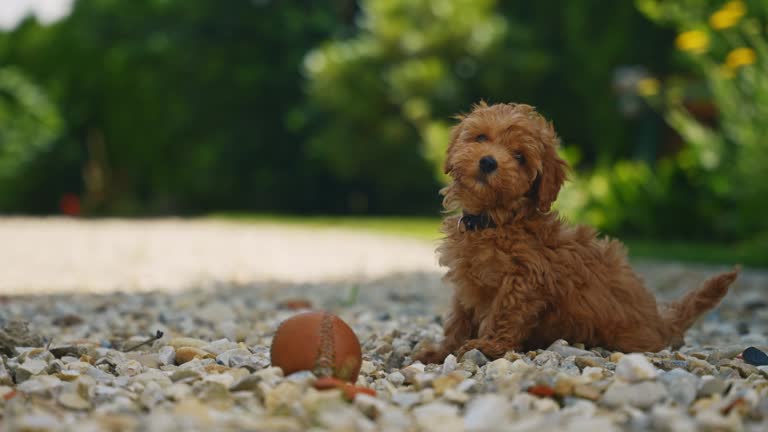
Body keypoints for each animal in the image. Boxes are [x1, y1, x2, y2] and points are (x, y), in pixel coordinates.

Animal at [414, 103, 736, 362]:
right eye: (481, 137)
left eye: (519, 156)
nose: (488, 161)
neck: (494, 220)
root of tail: (661, 322)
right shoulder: (469, 282)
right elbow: (458, 317)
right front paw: (442, 350)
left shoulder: (524, 278)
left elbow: (504, 312)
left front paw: (487, 346)